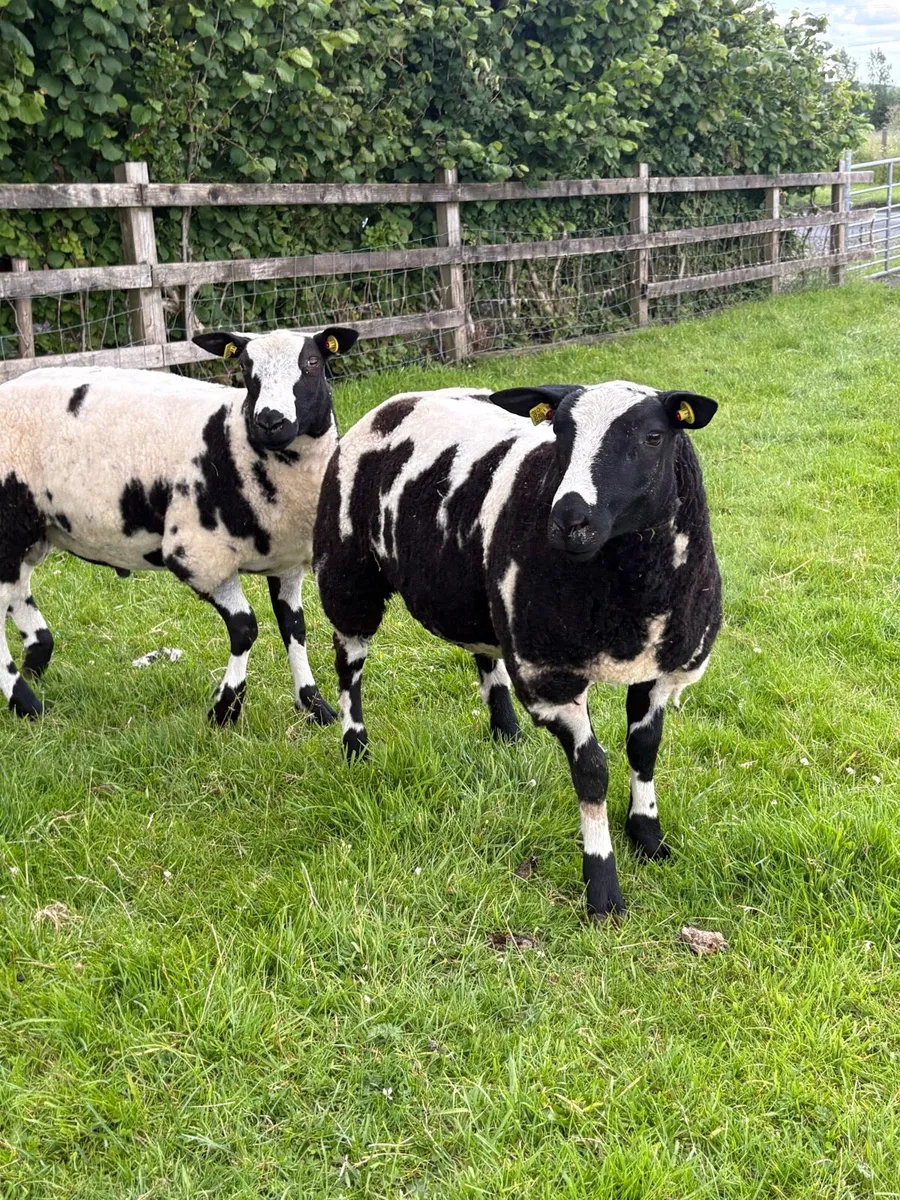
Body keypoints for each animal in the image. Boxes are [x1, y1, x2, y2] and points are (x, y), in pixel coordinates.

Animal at [0, 325, 358, 725]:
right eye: (245, 366)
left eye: (311, 362)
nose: (270, 421)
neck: (236, 439)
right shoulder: (198, 554)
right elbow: (245, 628)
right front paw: (225, 709)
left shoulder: (286, 560)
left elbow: (294, 627)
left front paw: (314, 705)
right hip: (7, 521)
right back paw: (25, 701)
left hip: (29, 531)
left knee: (16, 590)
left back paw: (36, 660)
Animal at [313, 380, 721, 919]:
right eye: (559, 431)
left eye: (654, 436)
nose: (569, 519)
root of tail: (397, 401)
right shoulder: (547, 673)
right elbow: (592, 771)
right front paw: (603, 887)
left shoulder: (660, 667)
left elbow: (644, 750)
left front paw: (649, 838)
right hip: (348, 571)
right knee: (349, 662)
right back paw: (355, 744)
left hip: (473, 594)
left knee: (482, 653)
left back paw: (505, 732)